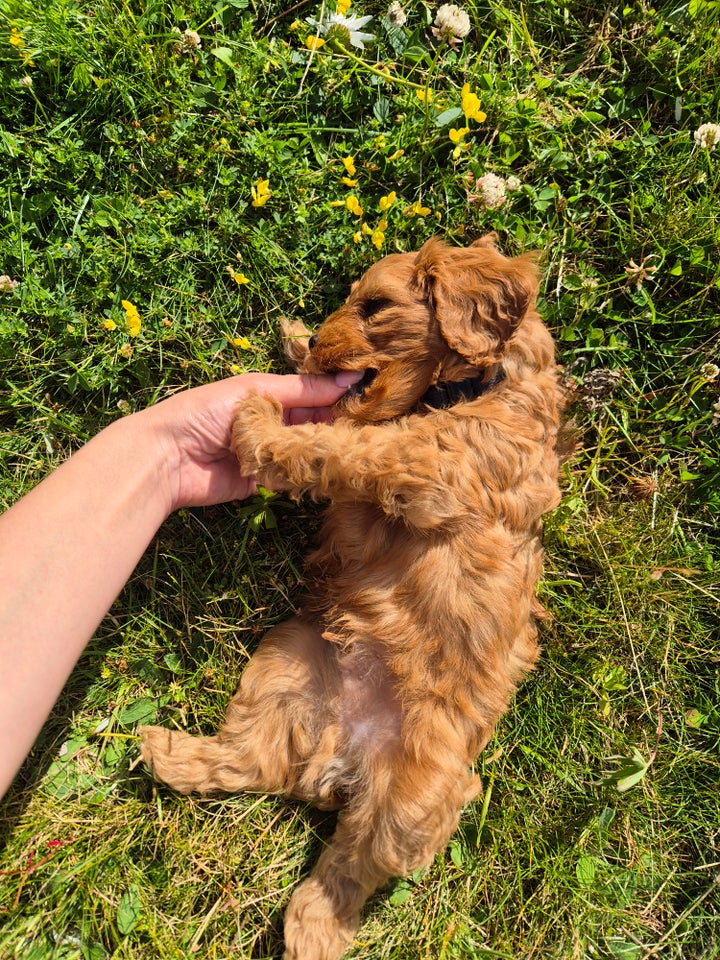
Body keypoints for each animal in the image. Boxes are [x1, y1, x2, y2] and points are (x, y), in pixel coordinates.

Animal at [141, 234, 564, 960]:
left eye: (375, 307)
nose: (316, 339)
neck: (470, 385)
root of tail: (338, 759)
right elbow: (338, 434)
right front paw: (288, 342)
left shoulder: (430, 465)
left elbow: (338, 445)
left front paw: (259, 418)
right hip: (287, 659)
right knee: (251, 762)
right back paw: (167, 753)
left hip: (418, 802)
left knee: (351, 869)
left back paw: (311, 930)